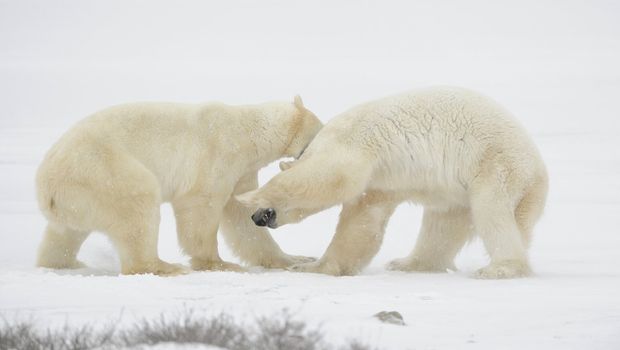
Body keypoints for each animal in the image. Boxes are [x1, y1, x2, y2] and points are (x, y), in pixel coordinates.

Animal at [36, 97, 322, 274]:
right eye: (321, 129)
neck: (248, 131)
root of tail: (46, 187)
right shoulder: (218, 153)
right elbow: (200, 206)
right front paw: (218, 263)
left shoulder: (242, 170)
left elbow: (242, 216)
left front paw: (296, 258)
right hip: (102, 171)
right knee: (139, 204)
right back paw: (165, 267)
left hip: (76, 200)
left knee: (64, 235)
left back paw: (64, 263)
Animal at [237, 87, 548, 278]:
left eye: (265, 210)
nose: (257, 218)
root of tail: (539, 175)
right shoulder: (380, 181)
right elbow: (362, 223)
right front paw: (321, 266)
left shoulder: (354, 144)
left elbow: (327, 176)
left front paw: (249, 196)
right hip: (456, 190)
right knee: (443, 225)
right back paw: (410, 263)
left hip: (494, 166)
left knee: (492, 214)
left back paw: (500, 268)